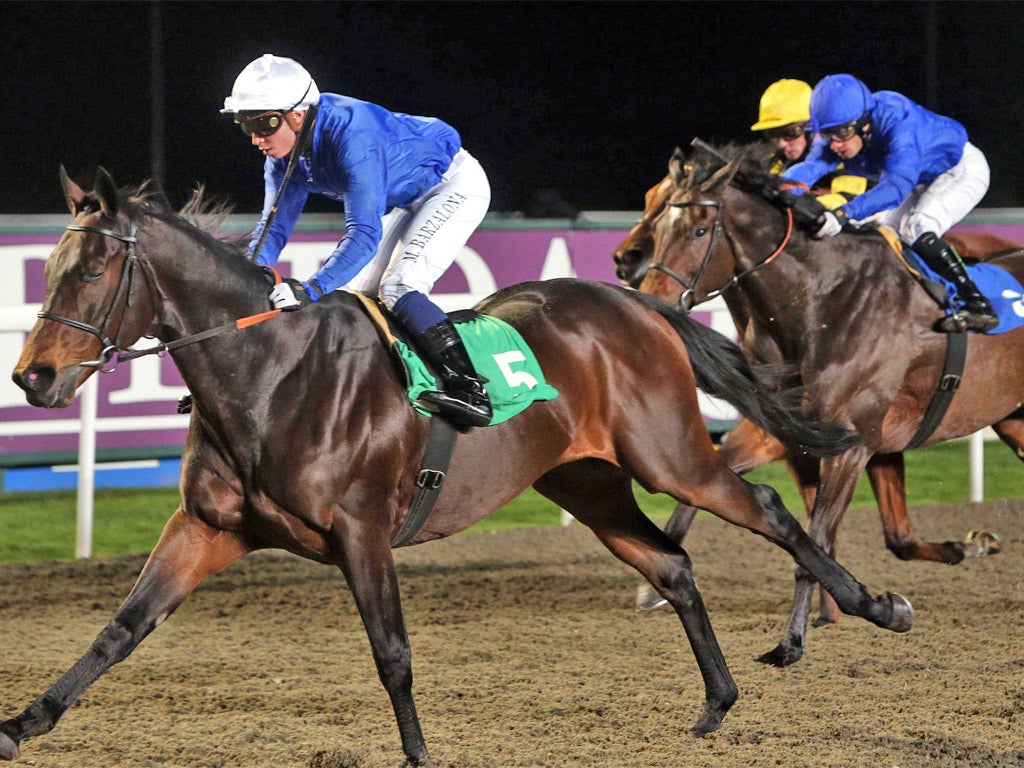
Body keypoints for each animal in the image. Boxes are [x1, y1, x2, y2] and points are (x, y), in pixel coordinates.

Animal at [0, 167, 913, 765]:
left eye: (93, 268)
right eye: (51, 268)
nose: (33, 378)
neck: (270, 375)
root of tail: (635, 303)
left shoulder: (361, 530)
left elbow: (392, 652)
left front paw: (417, 754)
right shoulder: (207, 526)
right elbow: (121, 629)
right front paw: (24, 722)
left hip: (671, 455)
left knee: (769, 509)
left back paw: (873, 607)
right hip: (585, 482)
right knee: (674, 563)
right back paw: (717, 702)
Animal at [634, 147, 1019, 671]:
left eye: (697, 230)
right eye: (658, 226)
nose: (648, 300)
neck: (823, 302)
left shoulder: (851, 443)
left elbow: (814, 547)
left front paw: (791, 642)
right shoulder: (787, 431)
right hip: (1015, 419)